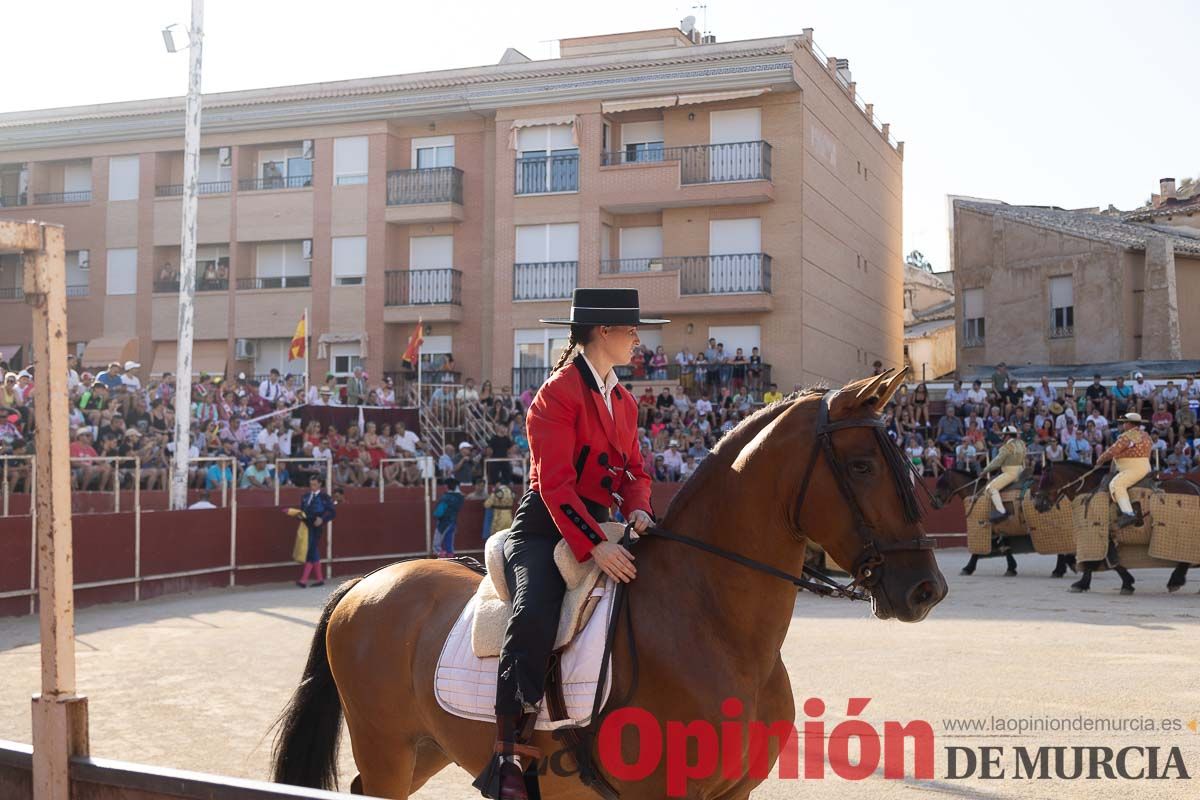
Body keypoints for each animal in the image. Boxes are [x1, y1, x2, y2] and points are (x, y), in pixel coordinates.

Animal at [272, 371, 945, 800]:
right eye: (862, 465)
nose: (926, 589)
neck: (715, 625)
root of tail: (367, 582)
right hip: (385, 744)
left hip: (426, 745)